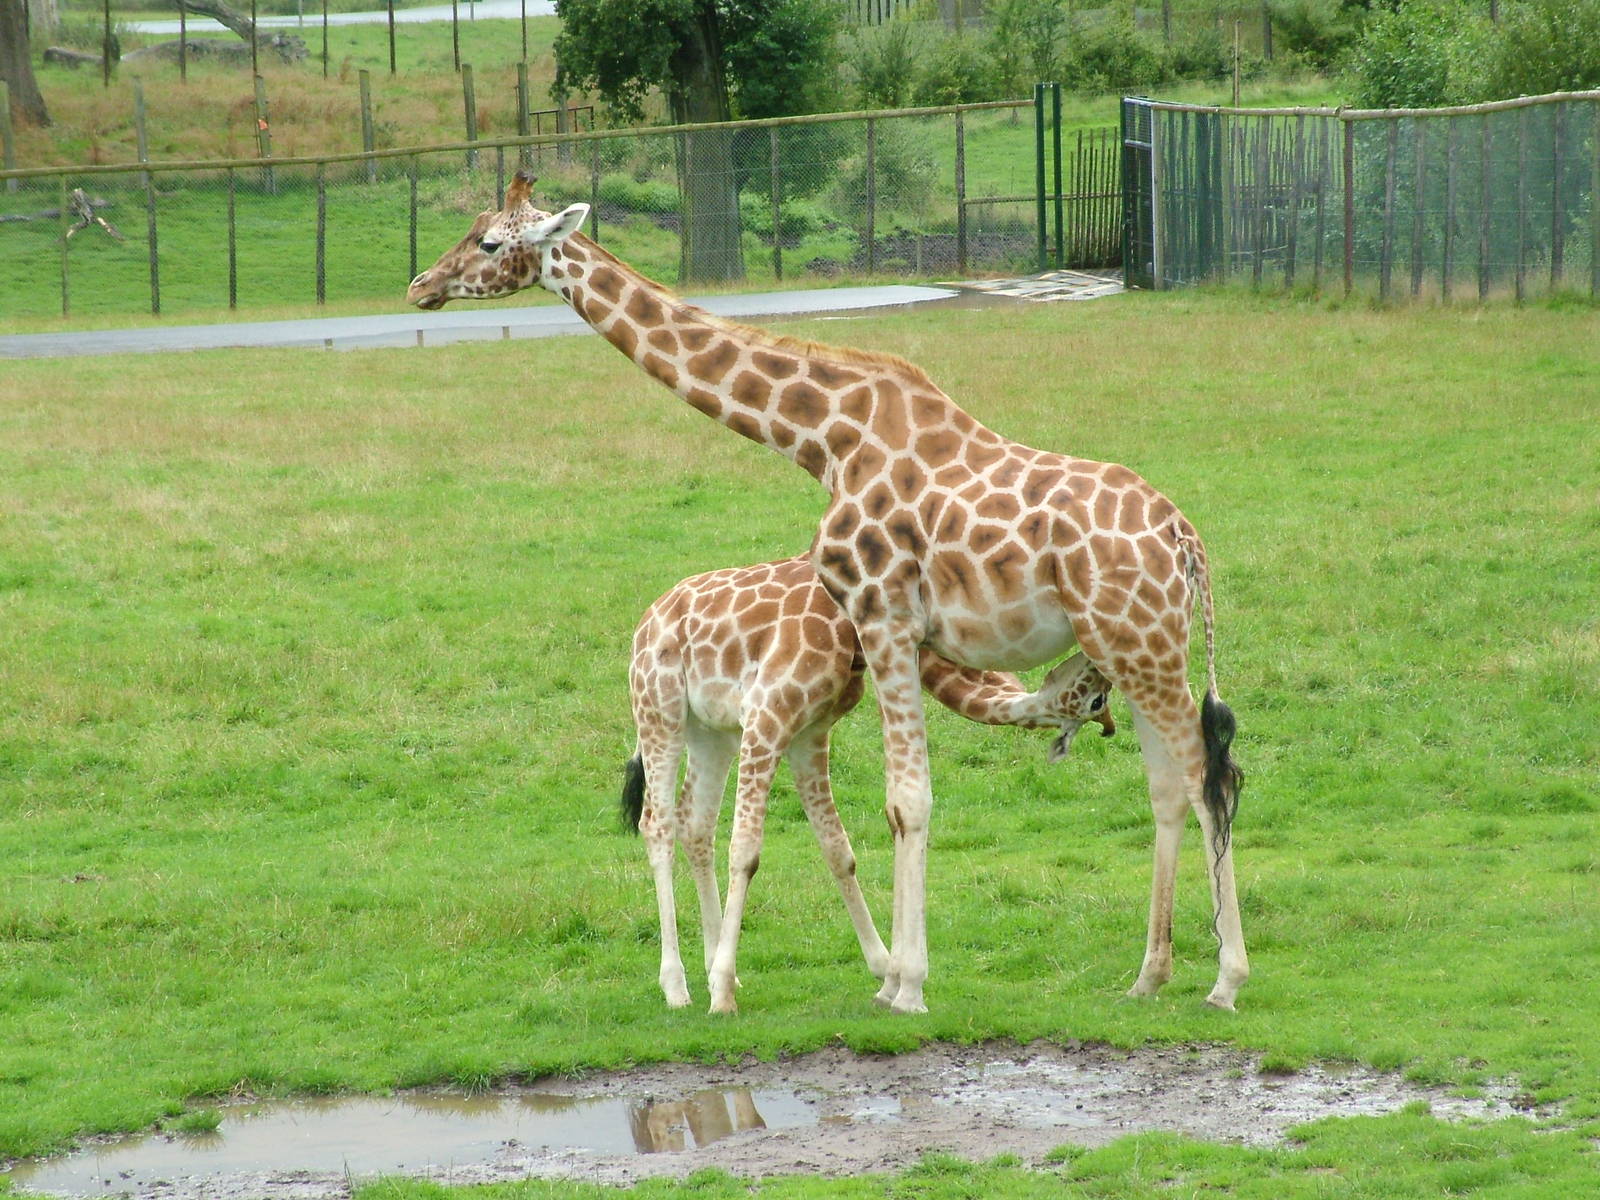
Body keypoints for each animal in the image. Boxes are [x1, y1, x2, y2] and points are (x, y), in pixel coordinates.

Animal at [622, 554, 1114, 1014]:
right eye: (1097, 699)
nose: (1111, 723)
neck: (849, 635)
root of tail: (647, 621)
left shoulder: (809, 731)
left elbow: (839, 851)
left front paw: (883, 968)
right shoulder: (767, 715)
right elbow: (746, 851)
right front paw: (722, 993)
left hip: (711, 730)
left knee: (695, 823)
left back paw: (709, 968)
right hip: (660, 709)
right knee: (657, 823)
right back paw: (678, 987)